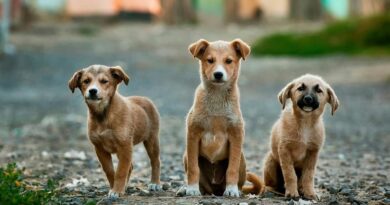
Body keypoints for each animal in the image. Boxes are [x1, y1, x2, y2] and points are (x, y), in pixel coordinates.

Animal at [69, 64, 161, 199]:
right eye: (86, 81)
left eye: (104, 81)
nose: (92, 91)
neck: (103, 115)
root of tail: (144, 99)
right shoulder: (100, 148)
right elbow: (110, 171)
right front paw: (115, 188)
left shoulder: (125, 146)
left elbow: (121, 171)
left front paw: (117, 190)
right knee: (131, 166)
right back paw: (126, 186)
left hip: (151, 140)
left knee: (155, 161)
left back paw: (155, 183)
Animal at [181, 38, 264, 197]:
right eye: (210, 60)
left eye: (229, 61)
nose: (218, 74)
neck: (217, 98)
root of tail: (215, 189)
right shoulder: (193, 134)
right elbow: (194, 168)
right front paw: (192, 189)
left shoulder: (236, 135)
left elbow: (232, 168)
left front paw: (231, 189)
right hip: (186, 156)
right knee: (202, 185)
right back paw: (186, 189)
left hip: (242, 158)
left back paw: (235, 189)